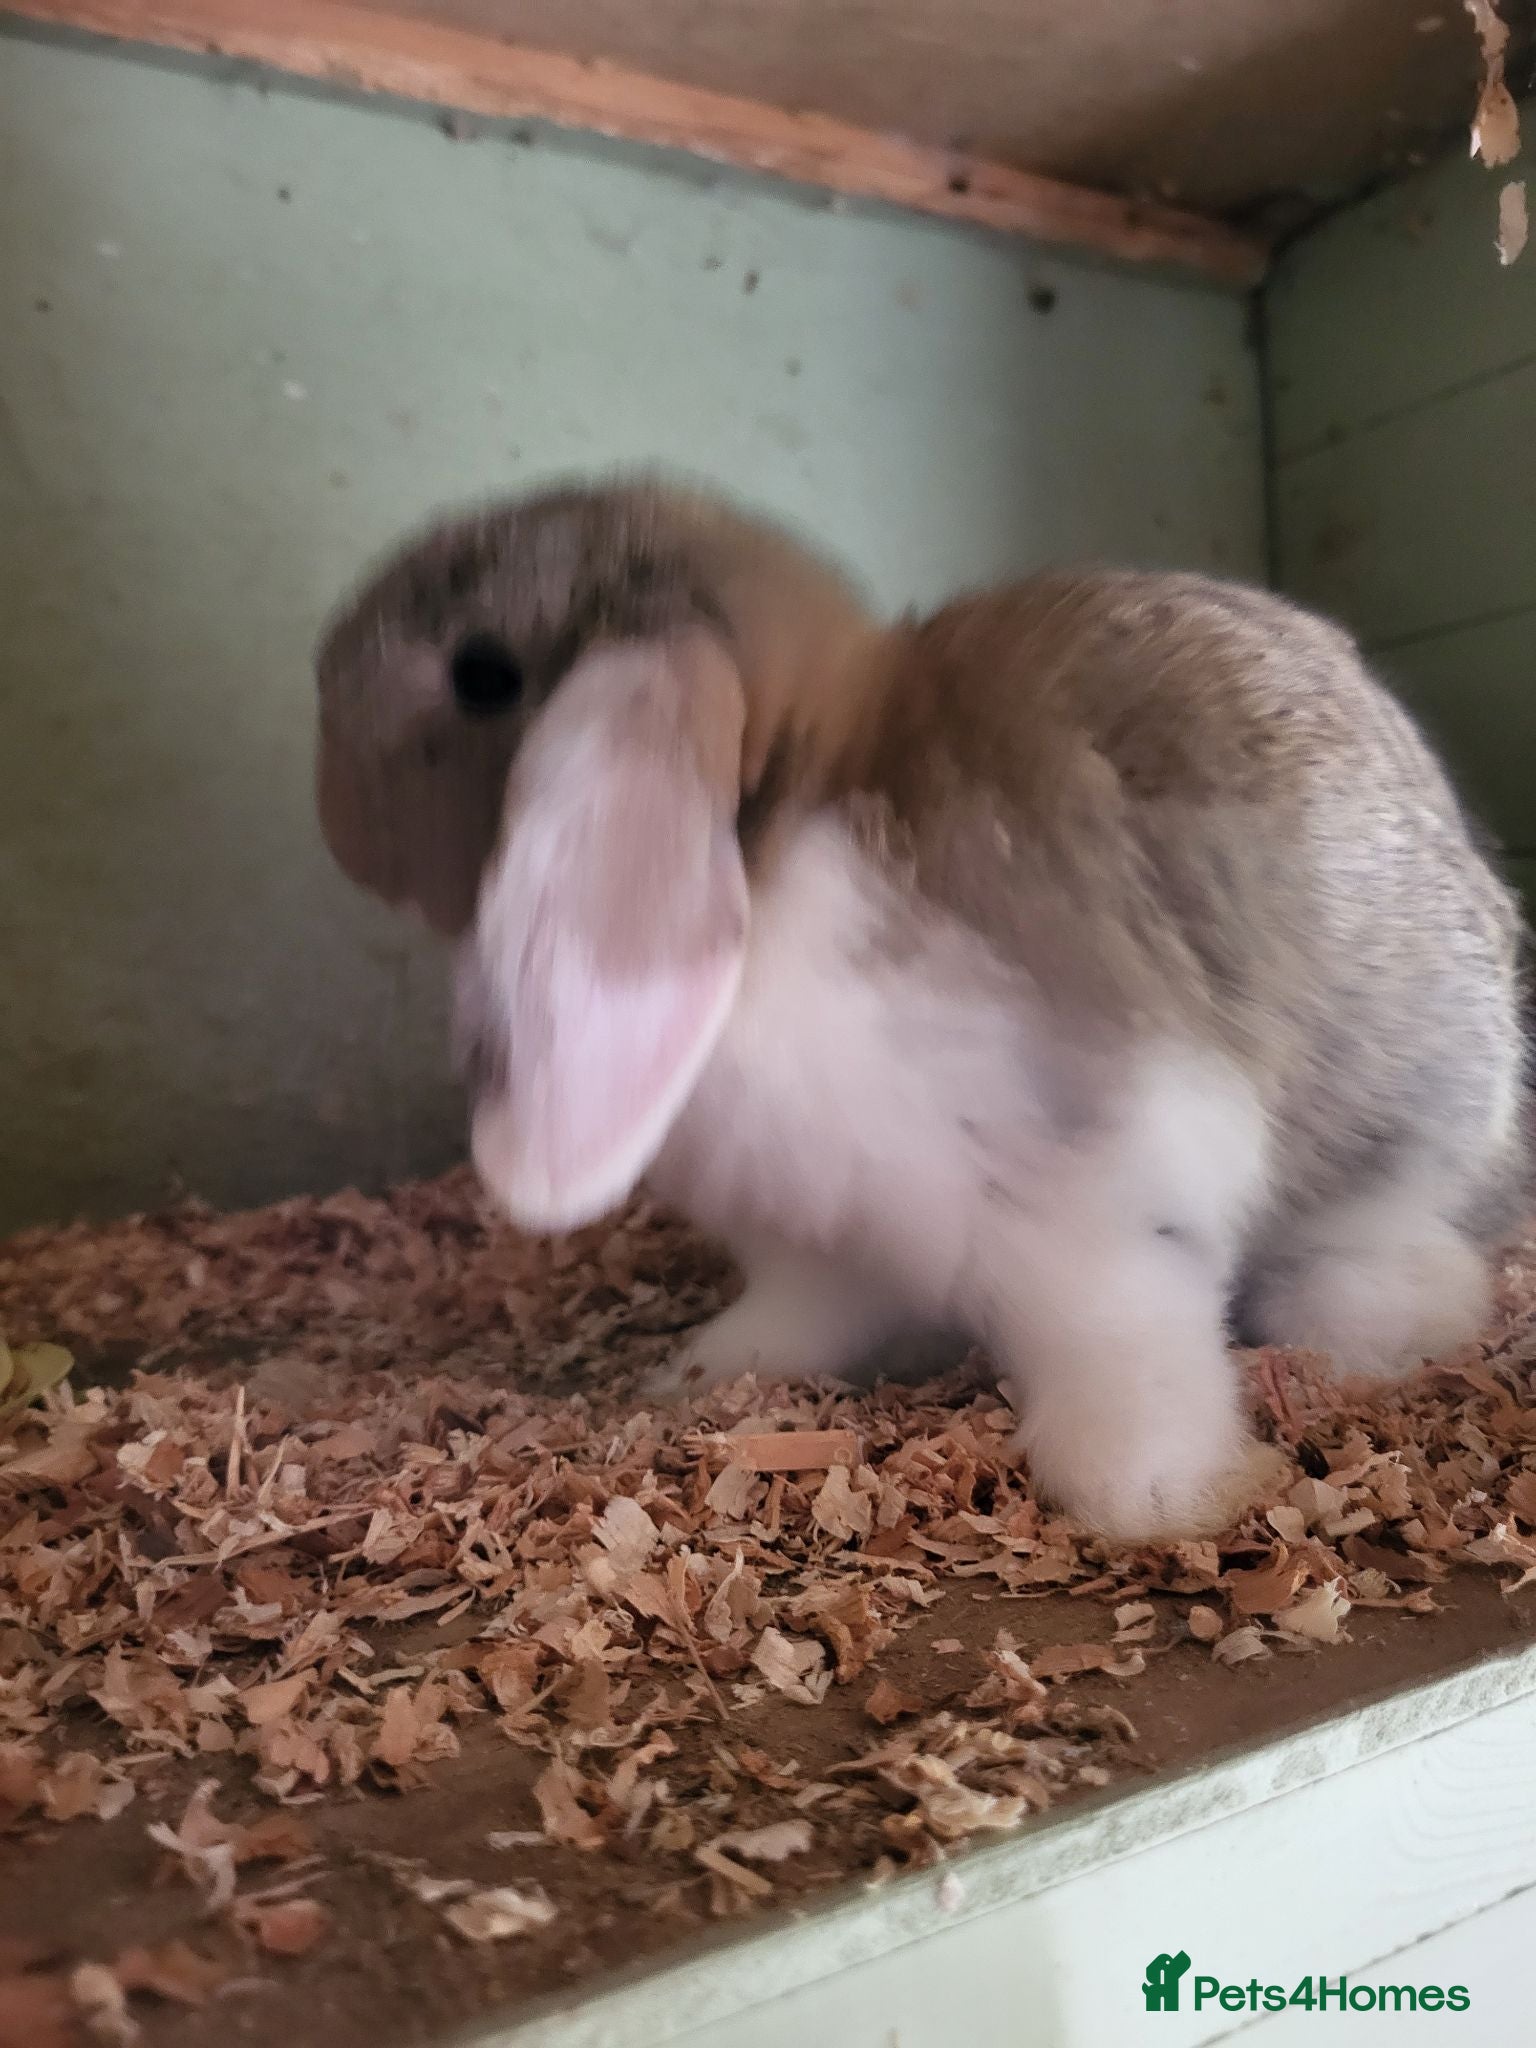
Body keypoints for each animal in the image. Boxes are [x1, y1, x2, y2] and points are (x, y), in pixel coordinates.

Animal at [315, 473, 1526, 1542]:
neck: (777, 843)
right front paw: (693, 1375)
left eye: (482, 672)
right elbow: (797, 1320)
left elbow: (1123, 1349)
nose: (332, 816)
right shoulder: (816, 1247)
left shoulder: (1098, 1200)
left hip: (1389, 1144)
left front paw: (1161, 1498)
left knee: (1430, 1275)